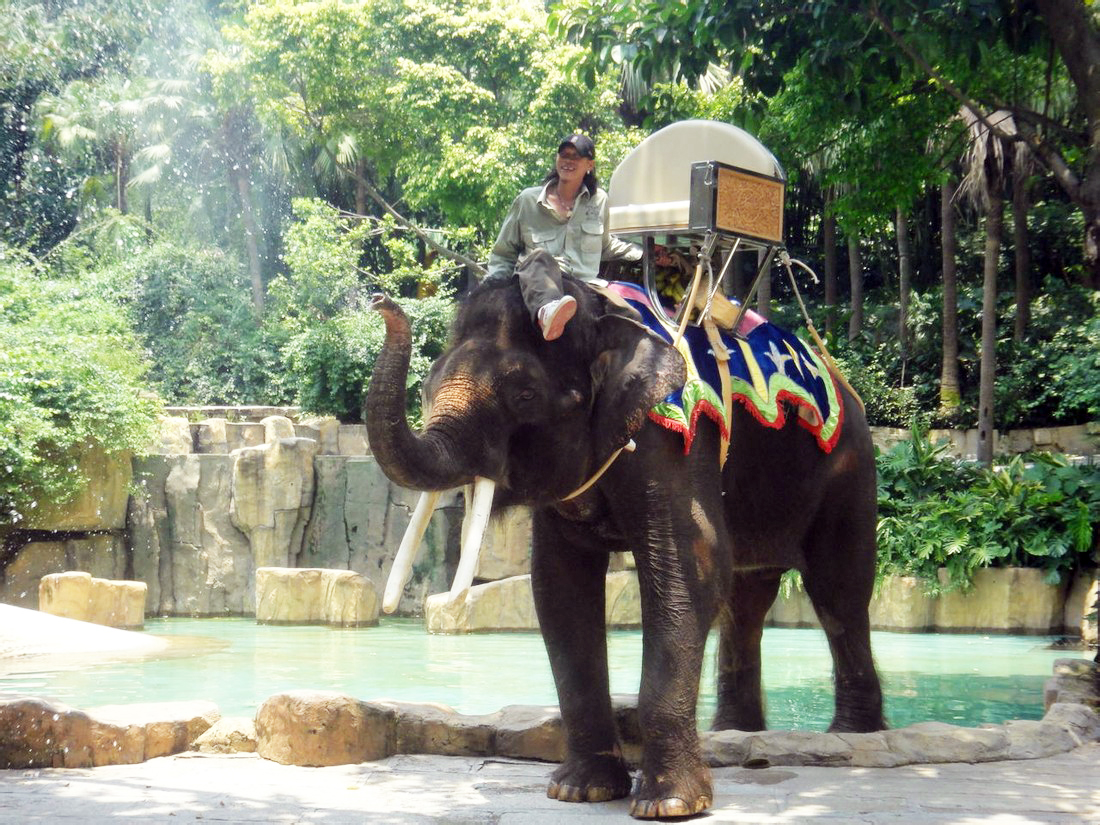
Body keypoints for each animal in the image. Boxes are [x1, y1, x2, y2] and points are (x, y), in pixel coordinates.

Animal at [364, 274, 885, 820]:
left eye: (524, 394)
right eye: (425, 389)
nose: (381, 301)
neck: (599, 317)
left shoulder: (674, 439)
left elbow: (692, 566)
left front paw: (670, 805)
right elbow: (559, 586)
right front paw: (580, 791)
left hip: (849, 470)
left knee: (838, 591)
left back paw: (852, 737)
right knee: (746, 601)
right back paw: (735, 731)